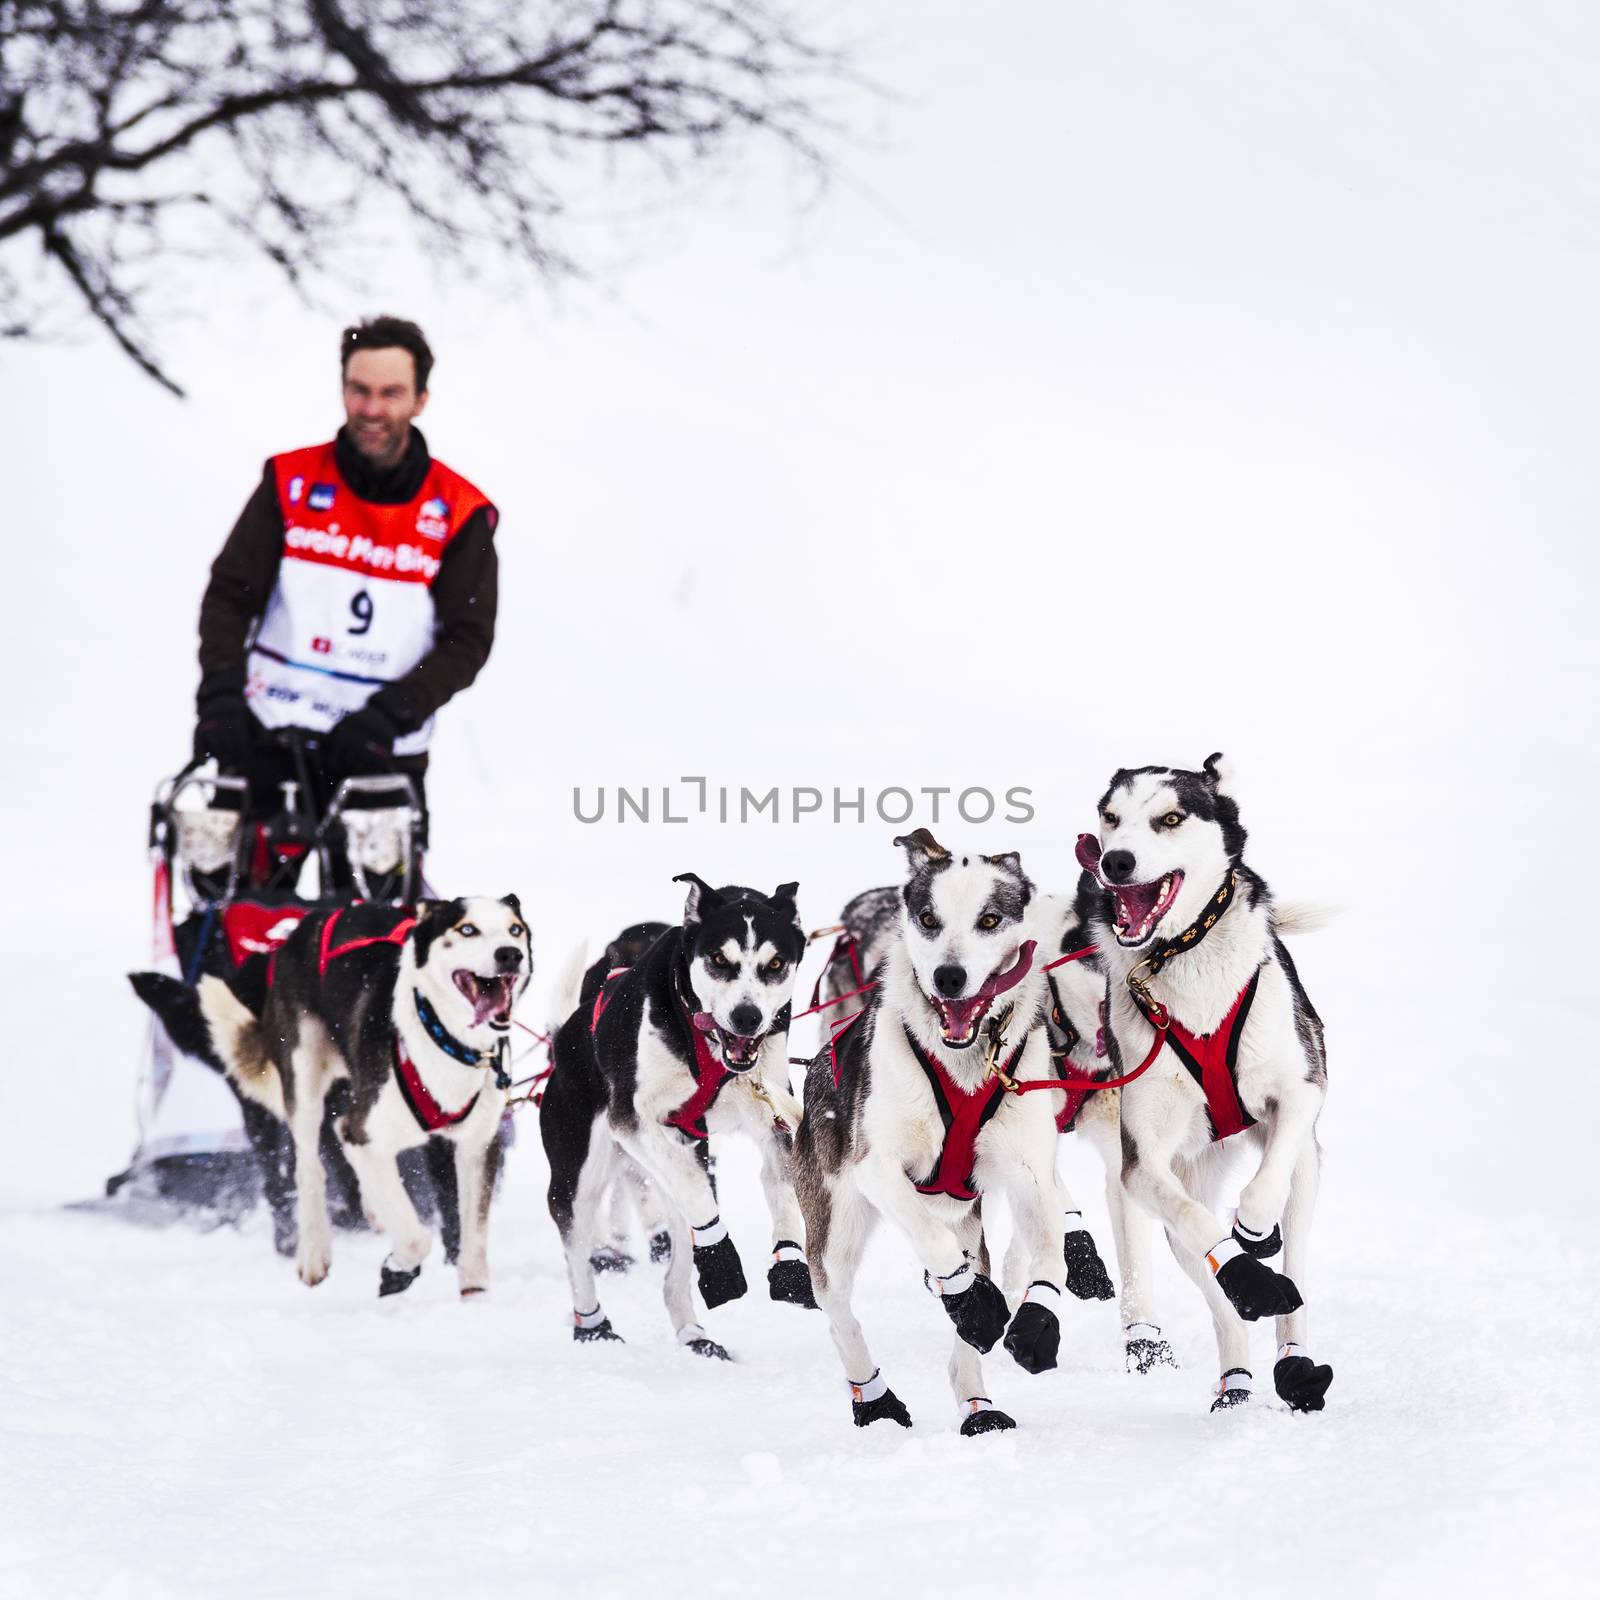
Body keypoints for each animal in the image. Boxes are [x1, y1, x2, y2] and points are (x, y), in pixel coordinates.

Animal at [132, 902, 531, 1299]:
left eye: (515, 930)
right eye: (467, 929)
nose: (510, 954)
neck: (442, 1038)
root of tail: (310, 922)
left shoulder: (477, 1145)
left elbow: (472, 1232)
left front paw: (473, 1293)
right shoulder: (364, 1134)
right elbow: (415, 1238)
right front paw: (397, 1267)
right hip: (305, 1087)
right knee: (309, 1168)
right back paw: (313, 1255)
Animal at [540, 876, 812, 1350]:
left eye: (776, 963)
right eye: (719, 959)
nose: (747, 1017)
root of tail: (563, 1042)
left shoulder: (771, 1117)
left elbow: (782, 1190)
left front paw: (790, 1266)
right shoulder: (634, 1121)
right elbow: (698, 1194)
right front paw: (721, 1255)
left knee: (675, 1267)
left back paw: (692, 1333)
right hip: (578, 1177)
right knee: (579, 1249)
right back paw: (594, 1327)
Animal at [796, 832, 1075, 1433]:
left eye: (989, 919)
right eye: (928, 918)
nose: (949, 977)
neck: (966, 1065)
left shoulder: (1032, 1177)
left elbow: (1050, 1256)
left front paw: (1036, 1322)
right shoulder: (878, 1169)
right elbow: (932, 1241)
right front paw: (971, 1299)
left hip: (972, 1224)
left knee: (964, 1338)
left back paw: (979, 1406)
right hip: (835, 1235)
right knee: (841, 1316)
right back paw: (875, 1398)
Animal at [1088, 748, 1337, 1414]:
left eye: (1171, 818)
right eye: (1110, 817)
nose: (1114, 861)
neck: (1184, 961)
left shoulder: (1302, 1090)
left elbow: (1261, 1188)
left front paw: (1252, 1225)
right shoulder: (1141, 1165)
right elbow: (1205, 1230)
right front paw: (1245, 1270)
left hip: (1307, 1181)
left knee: (1296, 1279)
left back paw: (1295, 1364)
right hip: (1177, 1207)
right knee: (1222, 1298)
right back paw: (1237, 1374)